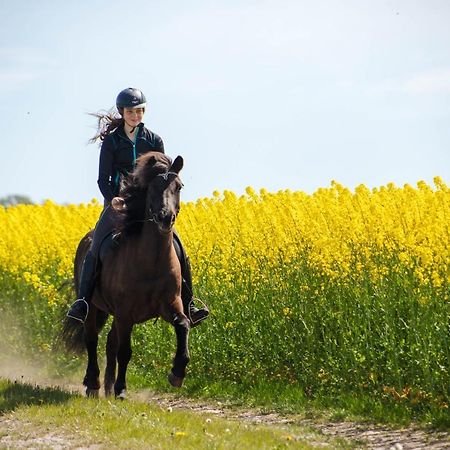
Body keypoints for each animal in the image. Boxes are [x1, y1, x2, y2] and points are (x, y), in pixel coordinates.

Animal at [60, 151, 189, 398]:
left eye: (178, 186)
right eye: (152, 188)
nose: (165, 218)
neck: (151, 262)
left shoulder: (171, 304)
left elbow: (183, 324)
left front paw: (177, 373)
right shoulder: (125, 313)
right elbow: (125, 351)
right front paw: (121, 389)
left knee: (110, 341)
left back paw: (108, 386)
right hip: (93, 308)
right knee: (92, 339)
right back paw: (94, 384)